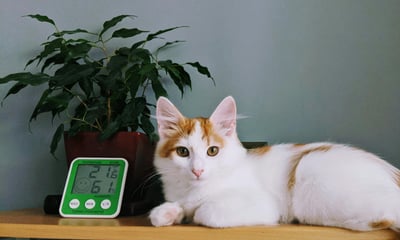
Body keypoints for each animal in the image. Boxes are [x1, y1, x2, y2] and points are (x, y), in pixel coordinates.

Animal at [148, 95, 400, 231]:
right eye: (183, 152)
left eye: (212, 151)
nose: (198, 170)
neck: (193, 190)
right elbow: (164, 212)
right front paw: (170, 212)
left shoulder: (263, 204)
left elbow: (204, 212)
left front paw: (192, 212)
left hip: (311, 184)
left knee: (387, 215)